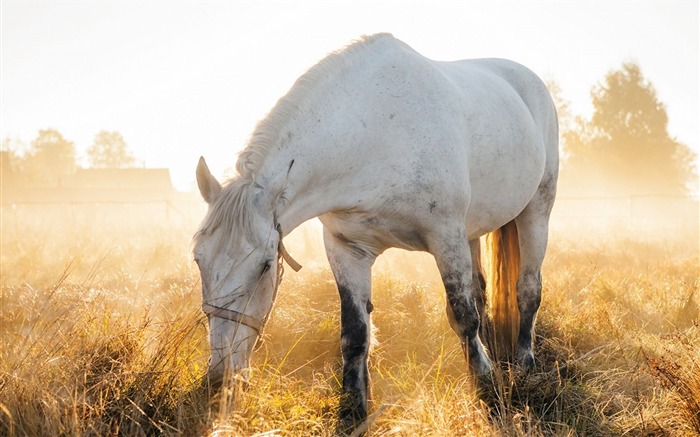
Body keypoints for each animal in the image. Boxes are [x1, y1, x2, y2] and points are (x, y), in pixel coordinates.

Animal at [191, 34, 556, 430]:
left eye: (265, 267)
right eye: (197, 260)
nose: (220, 376)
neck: (374, 137)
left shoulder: (446, 237)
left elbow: (463, 315)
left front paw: (486, 386)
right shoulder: (347, 248)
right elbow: (355, 333)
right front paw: (353, 410)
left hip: (536, 210)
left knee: (527, 289)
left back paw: (524, 363)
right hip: (473, 231)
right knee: (481, 291)